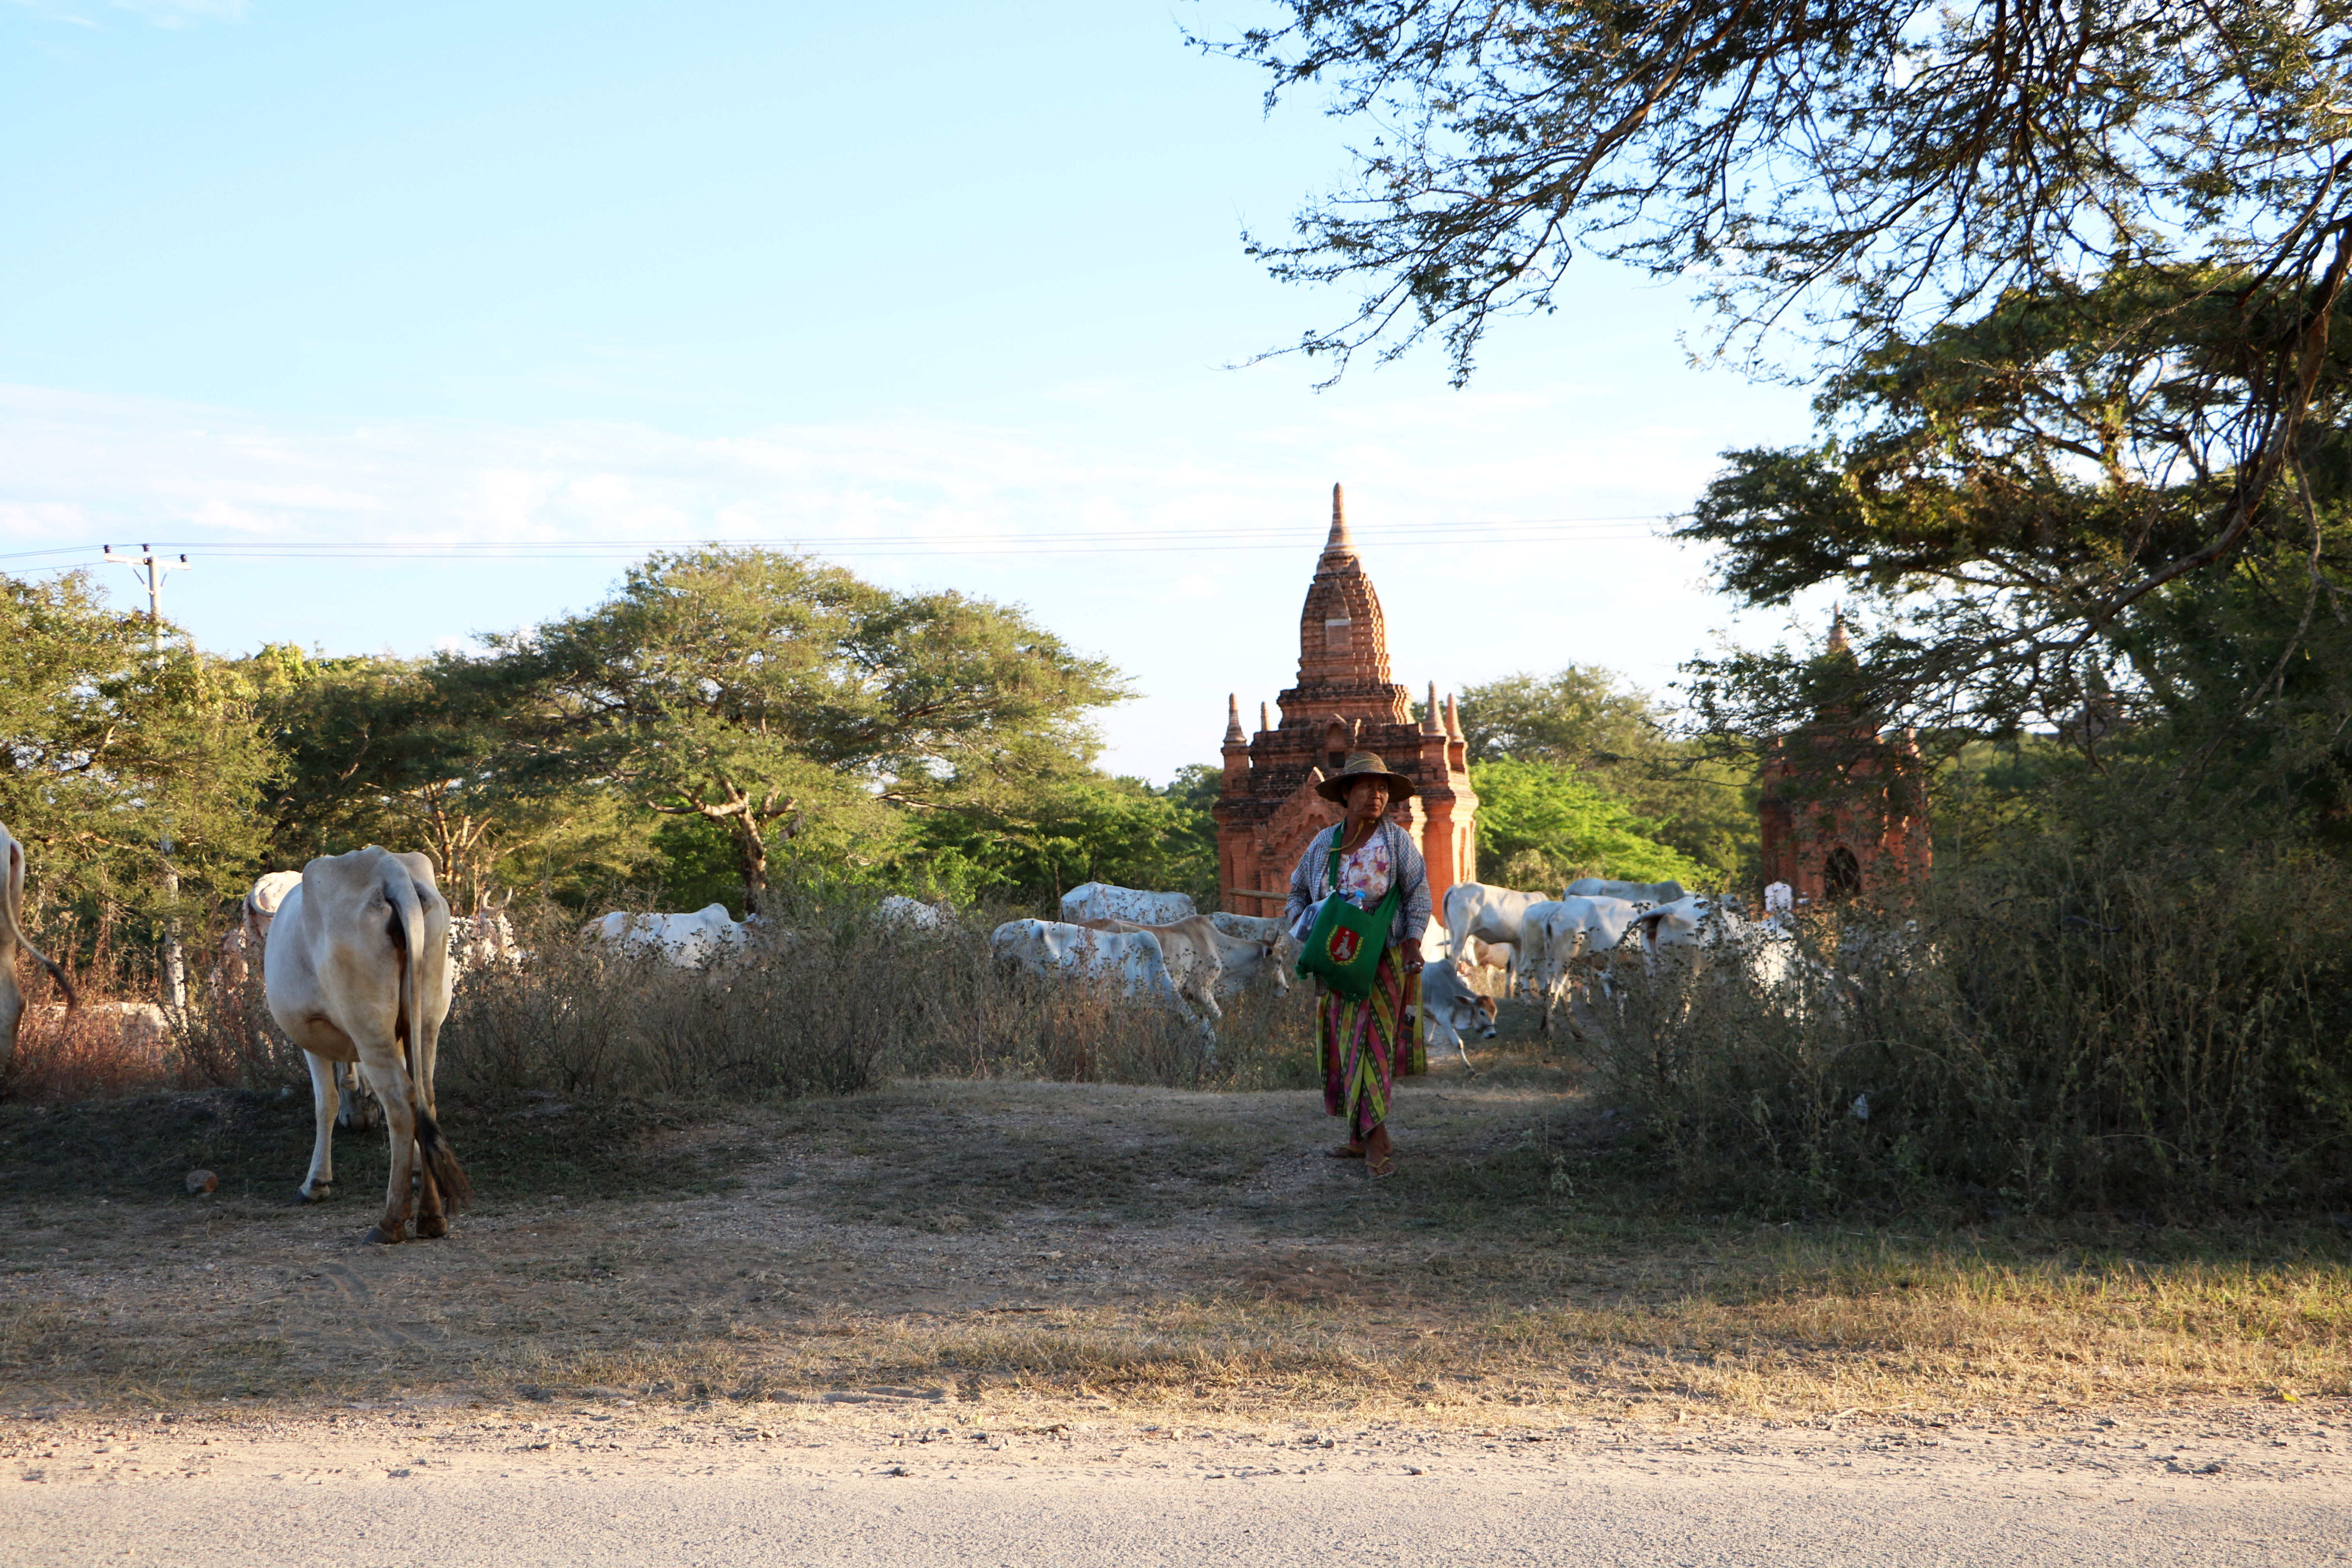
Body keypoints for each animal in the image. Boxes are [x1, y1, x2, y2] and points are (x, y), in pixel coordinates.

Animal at [265, 851, 470, 1241]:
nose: (358, 1118)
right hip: (425, 1021)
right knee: (425, 1097)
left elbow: (325, 1103)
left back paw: (391, 1221)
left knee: (401, 1102)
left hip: (369, 1026)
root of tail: (387, 867)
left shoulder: (312, 1037)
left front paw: (315, 1183)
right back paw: (431, 1216)